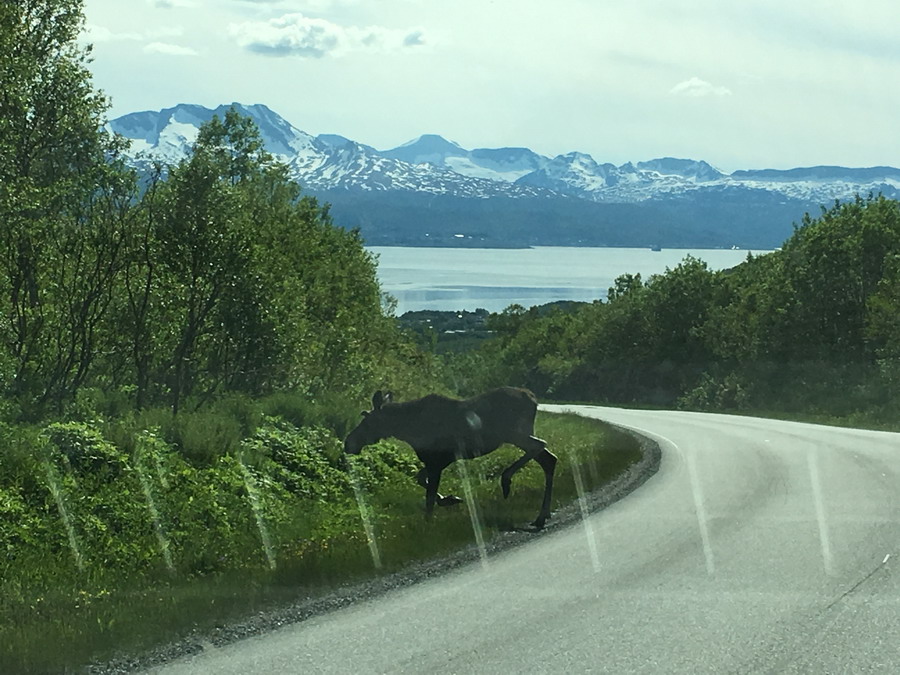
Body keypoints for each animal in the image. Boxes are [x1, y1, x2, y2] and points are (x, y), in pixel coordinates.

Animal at [342, 388, 556, 532]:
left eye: (367, 421)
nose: (348, 443)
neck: (407, 429)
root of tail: (533, 399)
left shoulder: (436, 462)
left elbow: (428, 498)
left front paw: (428, 524)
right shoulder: (436, 461)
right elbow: (420, 479)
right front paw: (450, 499)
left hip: (514, 433)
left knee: (541, 445)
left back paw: (506, 481)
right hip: (519, 435)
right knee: (549, 459)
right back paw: (541, 516)